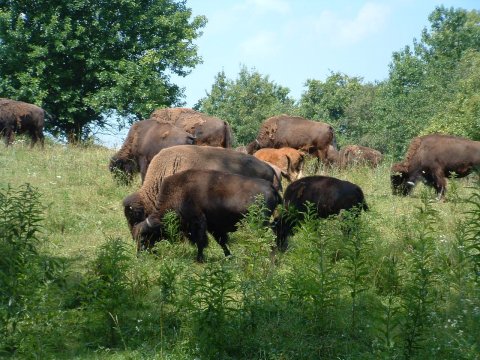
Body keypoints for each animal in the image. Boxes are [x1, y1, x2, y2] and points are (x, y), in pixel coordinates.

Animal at [131, 169, 282, 262]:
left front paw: (199, 258)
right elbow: (221, 242)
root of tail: (271, 187)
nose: (139, 255)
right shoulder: (213, 227)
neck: (180, 192)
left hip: (261, 222)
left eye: (143, 238)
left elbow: (201, 241)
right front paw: (228, 257)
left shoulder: (198, 222)